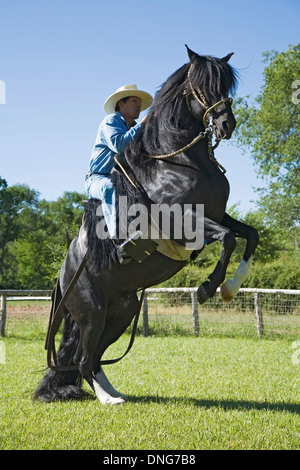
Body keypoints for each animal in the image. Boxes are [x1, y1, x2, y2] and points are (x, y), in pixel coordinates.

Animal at [35, 46, 258, 404]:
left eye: (226, 85)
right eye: (201, 85)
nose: (227, 123)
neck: (179, 163)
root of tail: (63, 275)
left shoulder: (218, 215)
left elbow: (250, 236)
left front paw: (230, 287)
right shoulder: (184, 221)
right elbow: (228, 239)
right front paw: (208, 288)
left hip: (121, 313)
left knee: (94, 358)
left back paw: (114, 393)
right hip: (92, 313)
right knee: (83, 359)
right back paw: (108, 399)